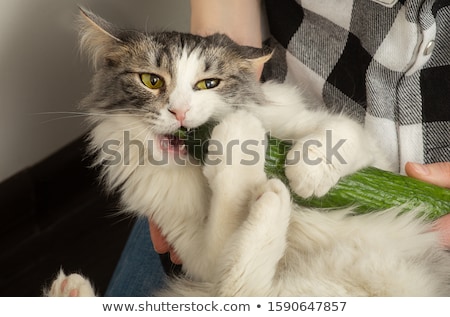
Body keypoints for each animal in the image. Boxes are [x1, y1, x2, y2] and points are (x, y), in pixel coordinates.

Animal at [43, 8, 450, 296]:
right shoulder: (200, 258)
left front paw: (304, 174)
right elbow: (229, 220)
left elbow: (341, 135)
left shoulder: (364, 150)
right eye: (151, 81)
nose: (180, 113)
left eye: (209, 84)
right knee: (241, 288)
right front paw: (238, 141)